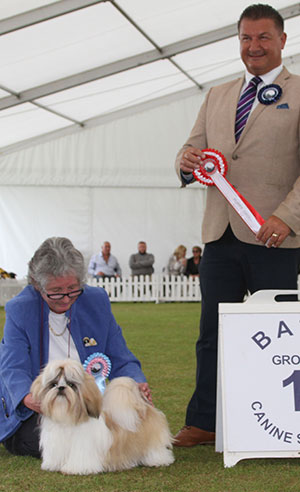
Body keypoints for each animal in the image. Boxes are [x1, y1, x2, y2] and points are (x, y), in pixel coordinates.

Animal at [31, 360, 173, 474]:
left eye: (71, 385)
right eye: (53, 385)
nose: (61, 388)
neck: (67, 417)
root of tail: (143, 407)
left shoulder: (82, 448)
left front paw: (74, 469)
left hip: (152, 442)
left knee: (156, 450)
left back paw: (158, 460)